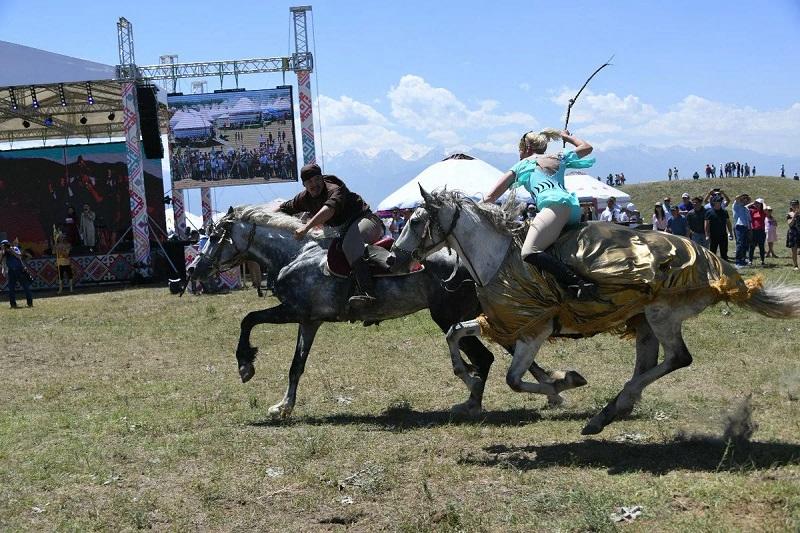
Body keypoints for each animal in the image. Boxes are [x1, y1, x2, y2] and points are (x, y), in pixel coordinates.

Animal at [190, 206, 584, 418]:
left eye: (215, 236)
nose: (194, 269)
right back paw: (552, 388)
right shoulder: (308, 320)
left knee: (486, 358)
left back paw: (484, 396)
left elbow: (249, 320)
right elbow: (296, 366)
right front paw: (283, 406)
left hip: (447, 315)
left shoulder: (293, 311)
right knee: (506, 351)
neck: (296, 253)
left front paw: (245, 365)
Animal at [390, 189, 800, 434]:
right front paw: (468, 377)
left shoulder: (534, 331)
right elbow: (454, 332)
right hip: (645, 321)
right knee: (649, 361)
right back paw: (611, 410)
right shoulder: (502, 322)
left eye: (415, 221)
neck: (498, 259)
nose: (394, 257)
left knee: (678, 358)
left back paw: (609, 409)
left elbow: (514, 379)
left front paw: (562, 384)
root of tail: (720, 268)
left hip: (663, 314)